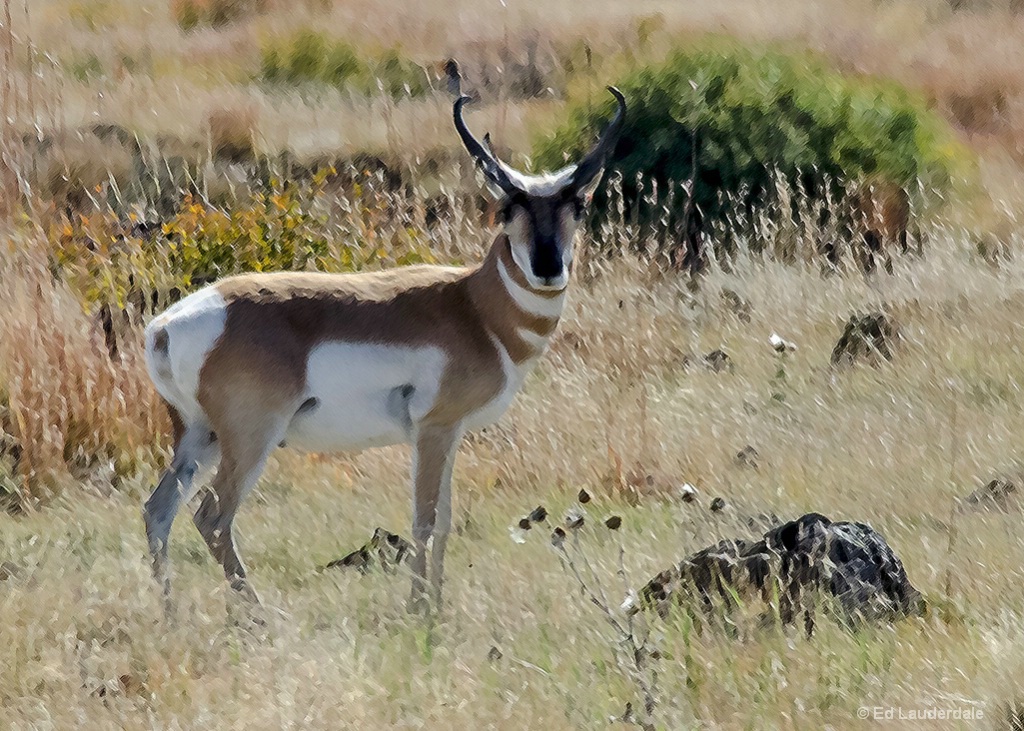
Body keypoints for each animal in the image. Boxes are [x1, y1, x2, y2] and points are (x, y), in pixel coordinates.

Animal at [143, 85, 622, 610]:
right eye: (507, 209)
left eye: (577, 207)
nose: (548, 267)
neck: (472, 306)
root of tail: (168, 325)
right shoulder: (434, 430)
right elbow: (425, 521)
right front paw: (419, 611)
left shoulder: (451, 435)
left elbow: (445, 522)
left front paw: (437, 607)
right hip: (250, 440)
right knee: (211, 517)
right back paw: (258, 616)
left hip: (199, 437)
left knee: (158, 511)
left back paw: (170, 614)